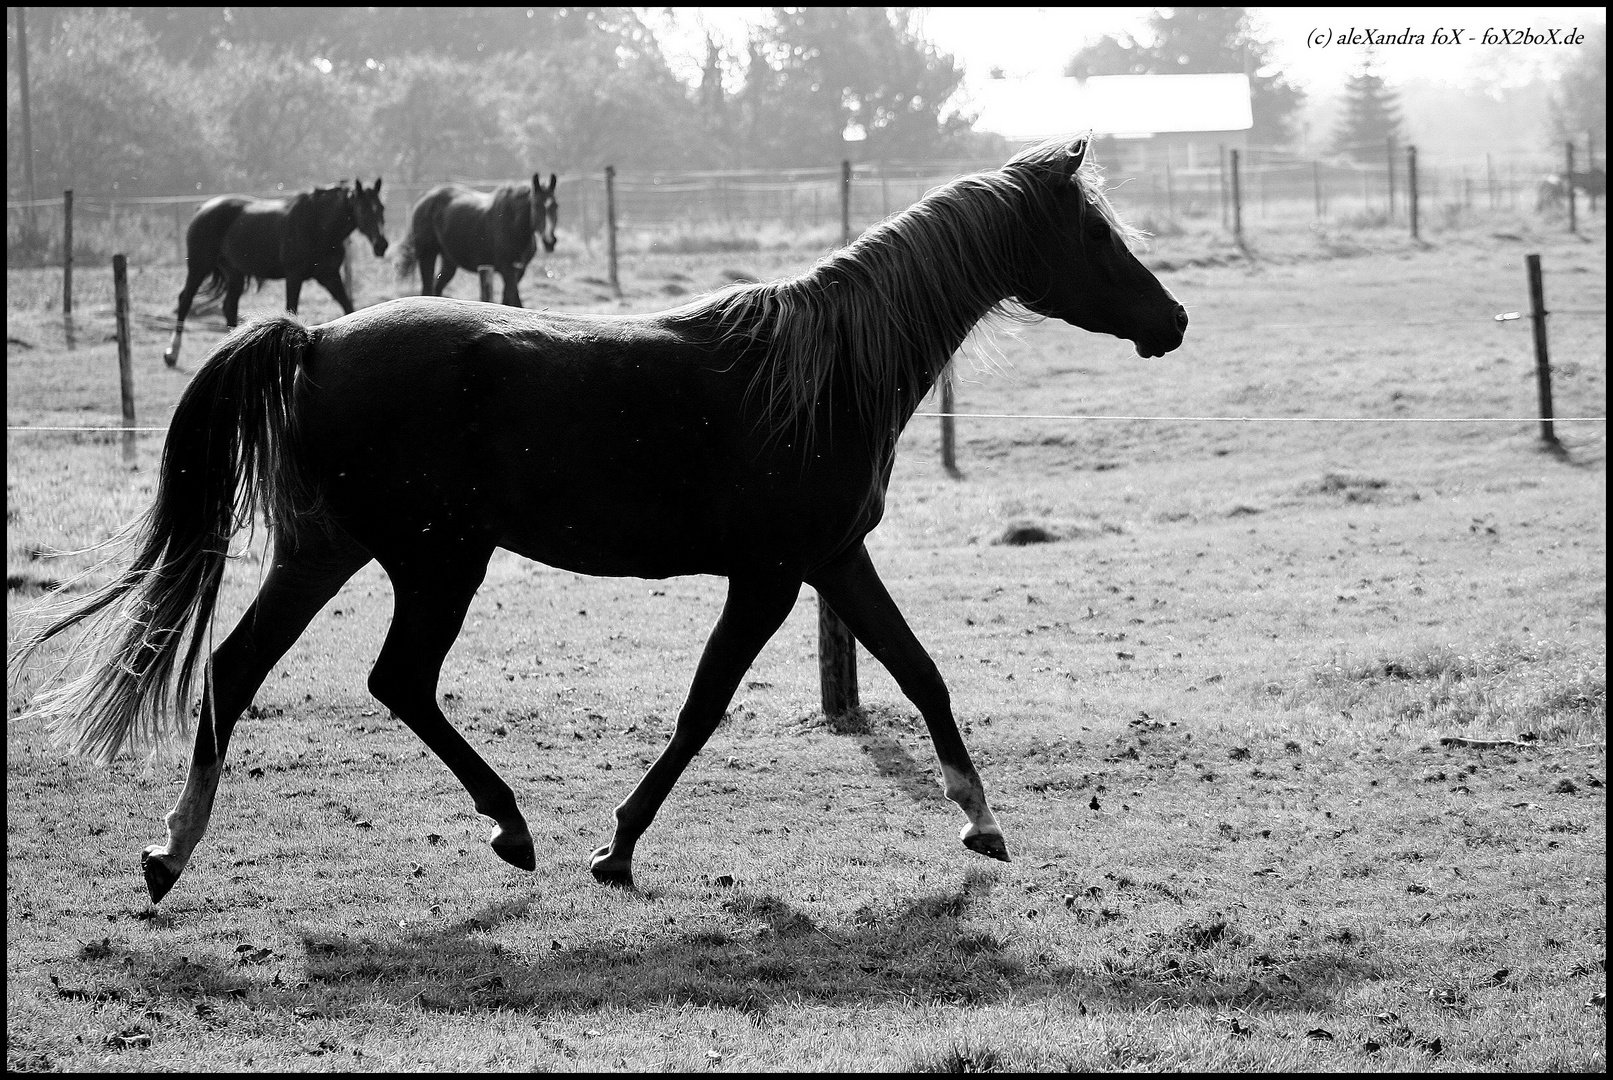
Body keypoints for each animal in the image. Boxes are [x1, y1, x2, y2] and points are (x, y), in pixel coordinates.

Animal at [161, 179, 390, 370]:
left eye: (381, 208)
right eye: (363, 209)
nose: (382, 244)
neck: (318, 225)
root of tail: (202, 209)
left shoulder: (330, 276)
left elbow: (348, 307)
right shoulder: (294, 277)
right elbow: (291, 309)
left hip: (235, 273)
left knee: (229, 306)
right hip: (199, 266)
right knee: (185, 300)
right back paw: (172, 354)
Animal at [398, 173, 561, 306]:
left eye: (555, 205)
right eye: (536, 205)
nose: (550, 240)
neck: (515, 226)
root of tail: (424, 198)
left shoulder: (519, 271)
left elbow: (508, 301)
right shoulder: (507, 270)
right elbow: (516, 302)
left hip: (449, 261)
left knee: (436, 288)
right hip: (427, 254)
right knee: (427, 288)